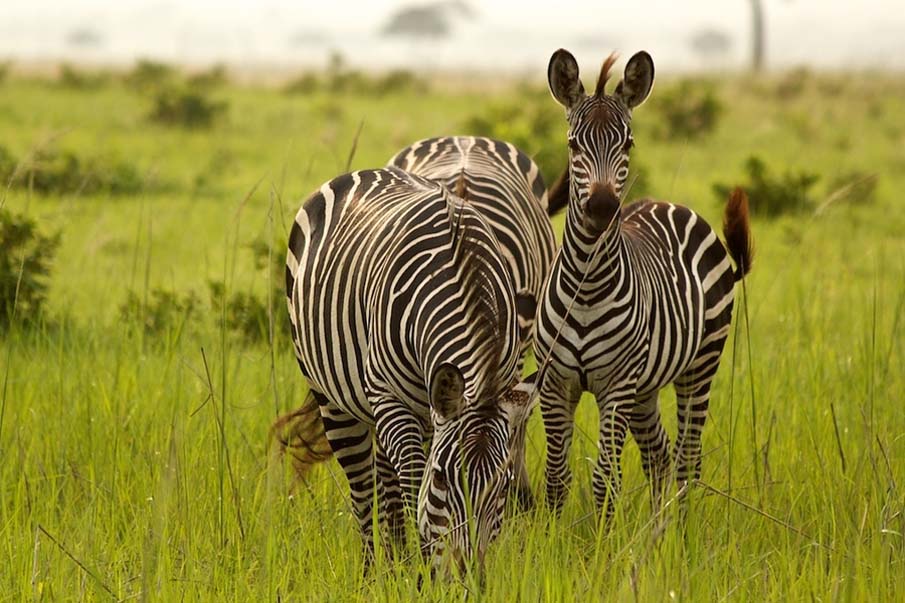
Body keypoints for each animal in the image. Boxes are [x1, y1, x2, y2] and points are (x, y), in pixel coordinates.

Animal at [280, 165, 536, 576]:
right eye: (443, 478)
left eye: (502, 484)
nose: (469, 574)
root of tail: (367, 172)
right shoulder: (389, 395)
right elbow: (414, 480)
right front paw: (420, 571)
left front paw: (415, 565)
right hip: (335, 398)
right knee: (365, 489)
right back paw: (373, 573)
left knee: (387, 478)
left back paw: (395, 558)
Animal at [532, 48, 752, 520]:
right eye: (573, 145)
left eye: (627, 144)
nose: (601, 206)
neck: (586, 285)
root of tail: (670, 204)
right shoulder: (555, 383)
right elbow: (557, 478)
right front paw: (555, 534)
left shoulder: (616, 386)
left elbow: (604, 480)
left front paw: (600, 537)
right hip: (646, 388)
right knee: (660, 456)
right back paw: (657, 527)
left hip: (699, 364)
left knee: (687, 459)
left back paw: (679, 530)